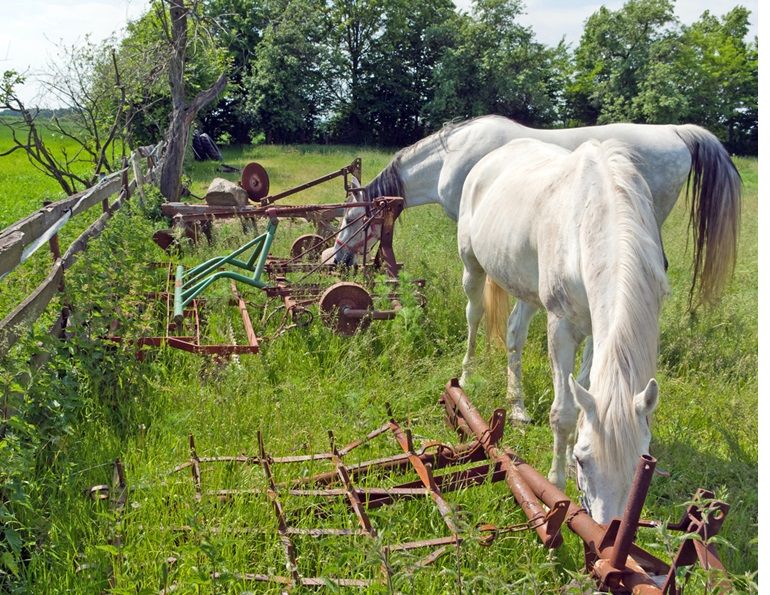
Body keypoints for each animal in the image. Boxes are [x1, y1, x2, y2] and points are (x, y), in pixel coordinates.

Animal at [459, 138, 669, 523]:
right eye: (586, 461)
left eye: (640, 466)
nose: (604, 529)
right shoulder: (562, 327)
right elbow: (565, 412)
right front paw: (554, 486)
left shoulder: (595, 332)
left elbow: (583, 390)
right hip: (473, 267)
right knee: (474, 316)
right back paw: (465, 377)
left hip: (525, 288)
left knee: (514, 334)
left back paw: (517, 407)